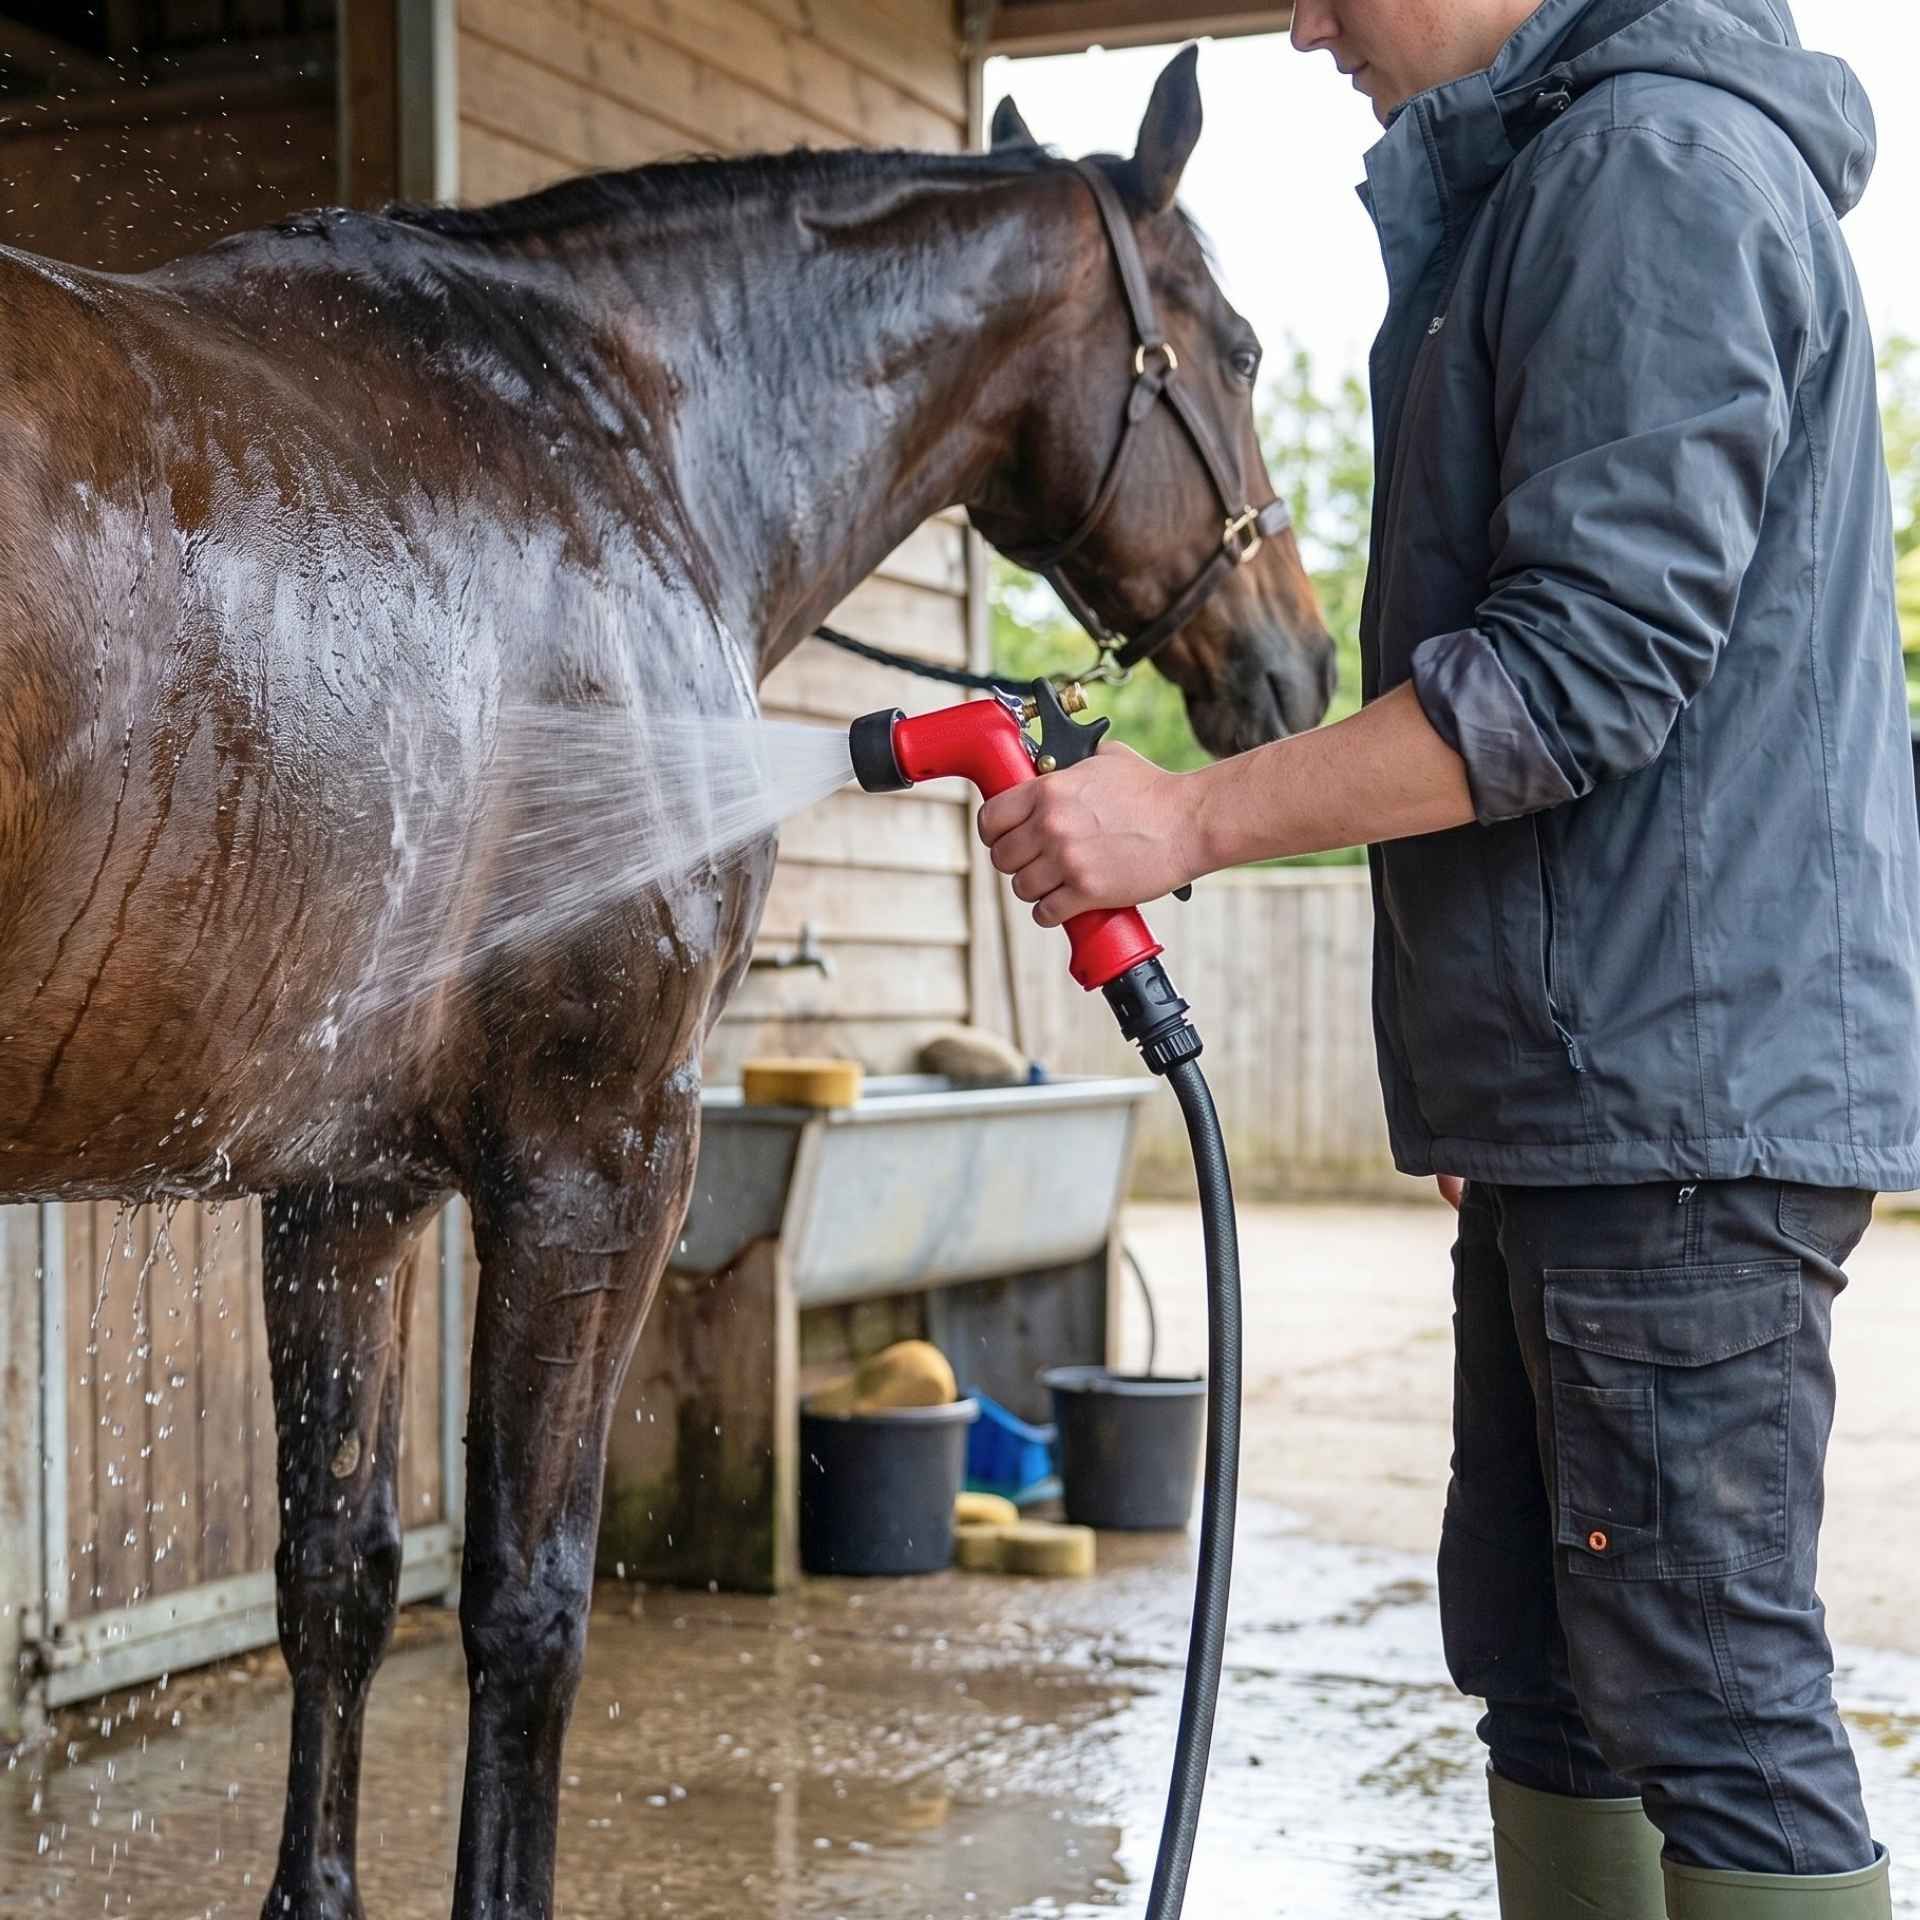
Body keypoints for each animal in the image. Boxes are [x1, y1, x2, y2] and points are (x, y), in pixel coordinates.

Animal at [0, 46, 1333, 1919]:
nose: (1300, 669)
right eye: (1238, 348)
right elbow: (528, 1610)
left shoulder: (345, 1189)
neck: (617, 436)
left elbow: (334, 1575)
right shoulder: (602, 1159)